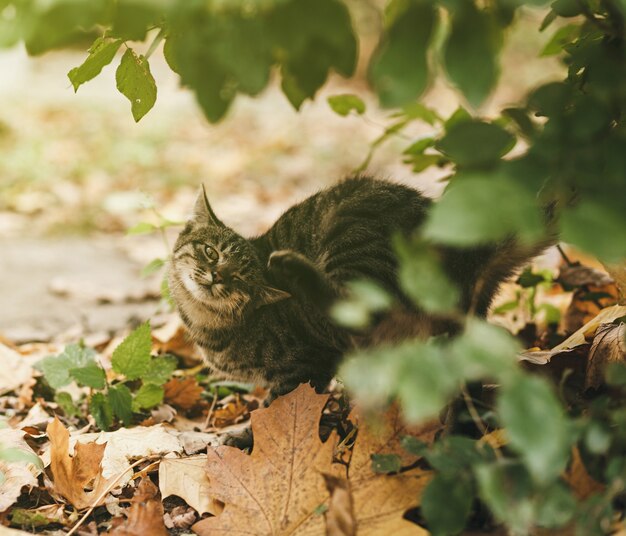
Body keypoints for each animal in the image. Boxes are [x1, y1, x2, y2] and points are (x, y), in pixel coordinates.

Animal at [168, 178, 544, 400]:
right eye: (211, 252)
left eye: (240, 279)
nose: (217, 276)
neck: (206, 324)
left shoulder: (306, 366)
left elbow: (278, 409)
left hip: (354, 245)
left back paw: (290, 266)